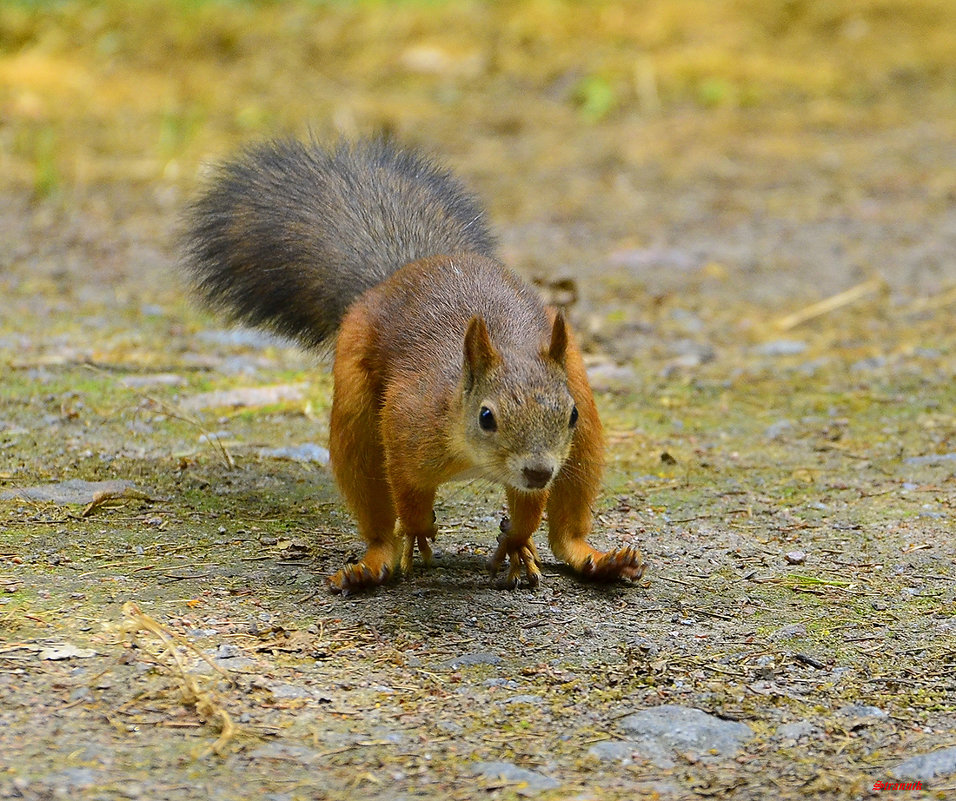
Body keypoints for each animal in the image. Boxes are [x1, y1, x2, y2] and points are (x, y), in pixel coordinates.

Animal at [183, 138, 648, 592]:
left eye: (569, 415)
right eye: (486, 417)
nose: (538, 471)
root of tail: (404, 271)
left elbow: (529, 510)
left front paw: (516, 541)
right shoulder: (407, 424)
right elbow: (407, 490)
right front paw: (420, 531)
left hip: (581, 418)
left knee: (567, 529)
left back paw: (597, 560)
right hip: (355, 408)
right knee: (373, 502)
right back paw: (372, 563)